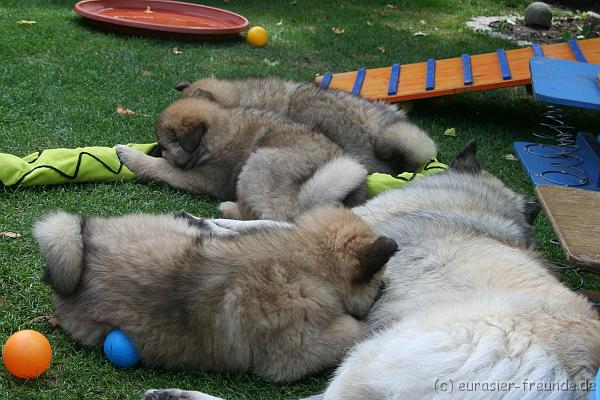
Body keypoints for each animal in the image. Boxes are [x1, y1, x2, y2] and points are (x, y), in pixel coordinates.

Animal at [117, 97, 368, 222]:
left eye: (163, 146)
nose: (153, 149)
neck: (222, 130)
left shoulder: (201, 177)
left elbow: (162, 168)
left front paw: (129, 155)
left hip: (260, 160)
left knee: (268, 216)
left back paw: (229, 208)